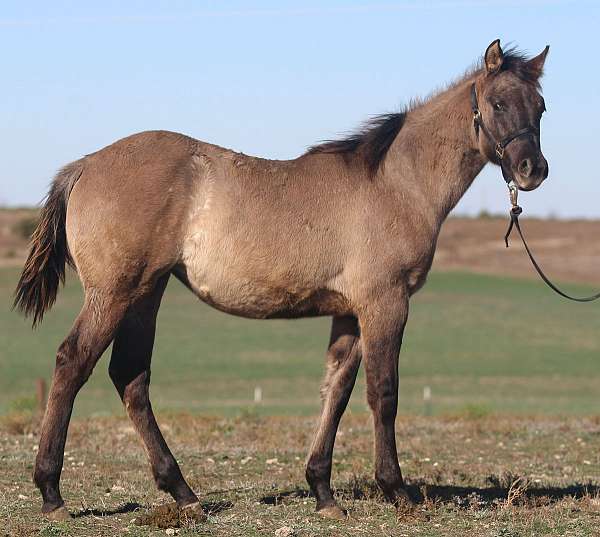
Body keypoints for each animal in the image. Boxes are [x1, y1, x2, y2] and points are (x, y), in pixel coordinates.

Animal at [14, 39, 548, 520]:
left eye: (540, 107)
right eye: (498, 103)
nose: (532, 170)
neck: (396, 183)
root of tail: (84, 166)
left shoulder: (349, 313)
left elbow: (336, 391)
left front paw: (323, 492)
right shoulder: (386, 303)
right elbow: (383, 392)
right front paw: (396, 490)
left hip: (146, 294)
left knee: (130, 378)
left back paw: (183, 492)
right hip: (114, 294)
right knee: (72, 363)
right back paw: (52, 493)